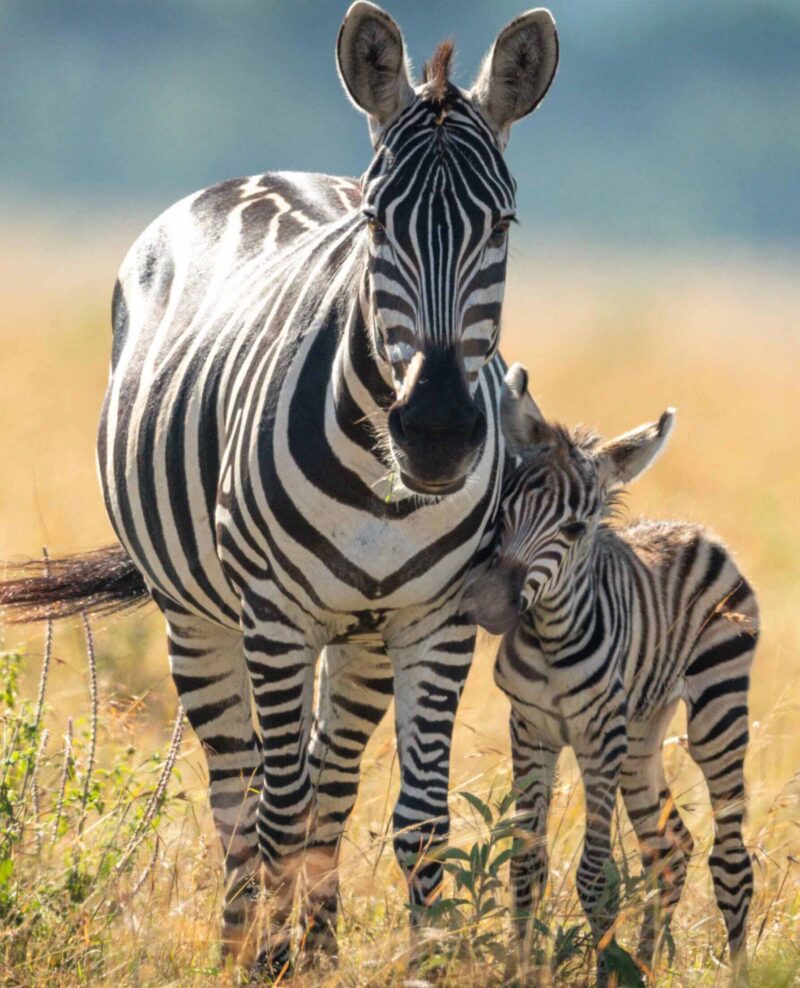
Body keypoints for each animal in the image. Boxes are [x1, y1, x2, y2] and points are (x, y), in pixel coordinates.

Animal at [0, 5, 559, 972]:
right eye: (376, 222)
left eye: (504, 223)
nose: (438, 432)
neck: (385, 490)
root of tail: (259, 175)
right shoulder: (273, 613)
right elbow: (276, 812)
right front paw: (267, 964)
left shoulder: (438, 620)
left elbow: (418, 822)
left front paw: (412, 965)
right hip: (200, 619)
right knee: (242, 792)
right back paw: (239, 948)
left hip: (361, 636)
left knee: (328, 786)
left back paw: (320, 949)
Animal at [465, 364, 758, 986]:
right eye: (503, 511)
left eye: (576, 529)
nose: (486, 606)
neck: (552, 639)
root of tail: (696, 531)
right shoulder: (530, 730)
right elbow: (526, 863)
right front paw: (524, 970)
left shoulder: (599, 737)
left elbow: (597, 877)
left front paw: (603, 972)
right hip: (642, 734)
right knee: (670, 847)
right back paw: (644, 964)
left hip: (716, 709)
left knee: (729, 857)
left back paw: (740, 970)